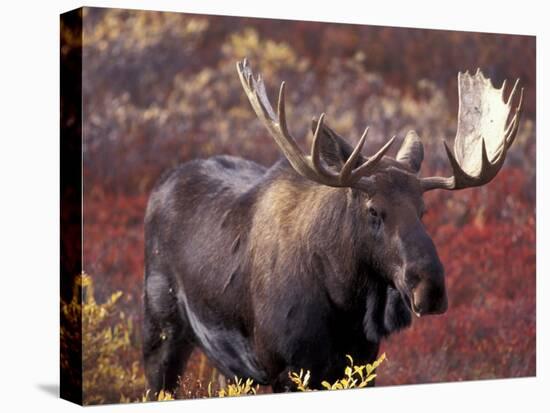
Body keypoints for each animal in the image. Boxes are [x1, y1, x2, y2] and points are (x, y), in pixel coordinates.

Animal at [142, 58, 528, 392]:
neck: (346, 304)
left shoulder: (361, 365)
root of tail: (160, 185)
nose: (431, 288)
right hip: (160, 332)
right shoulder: (285, 368)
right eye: (373, 211)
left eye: (424, 210)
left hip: (231, 368)